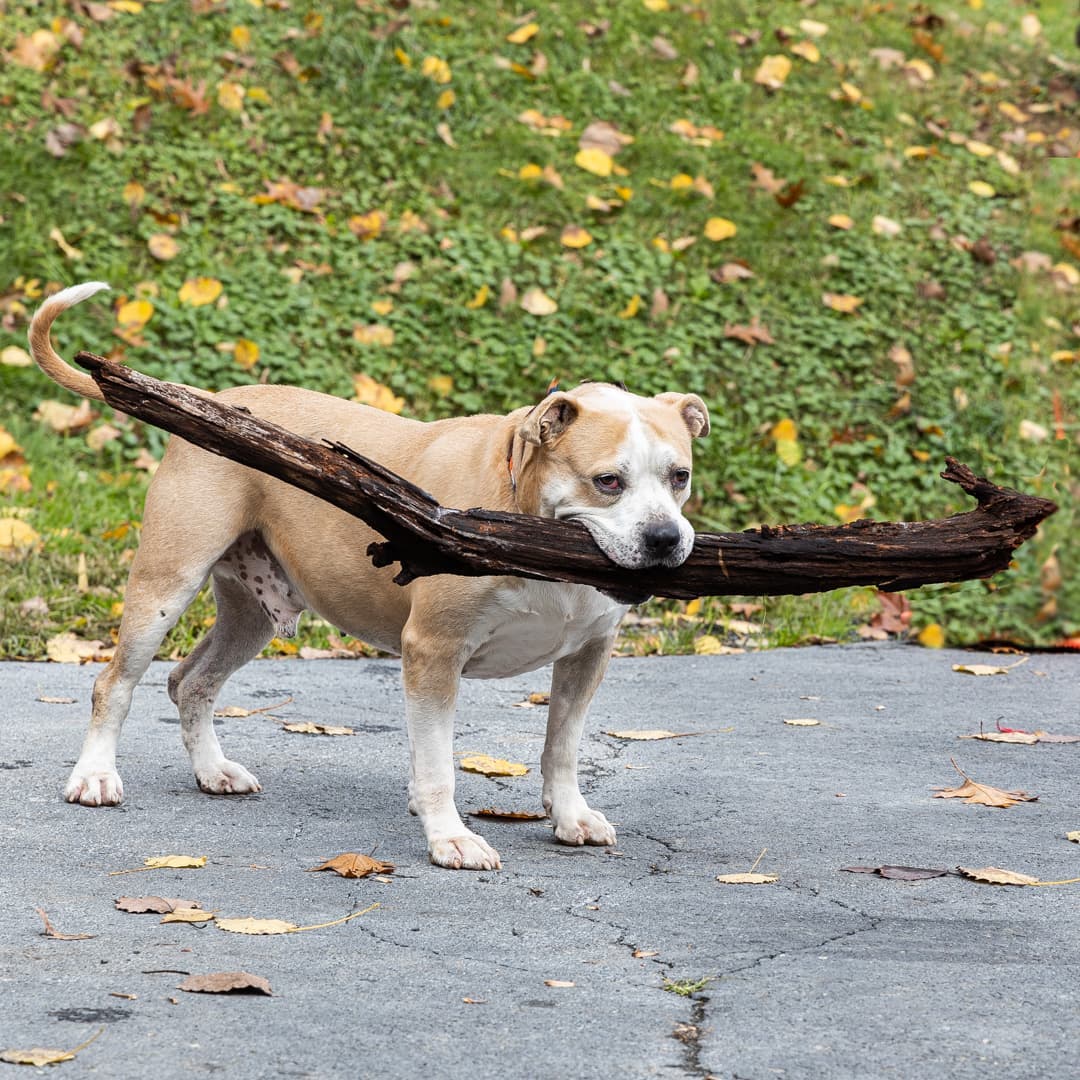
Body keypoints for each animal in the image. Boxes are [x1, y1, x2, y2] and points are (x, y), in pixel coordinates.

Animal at [27, 280, 708, 868]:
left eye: (680, 476)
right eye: (607, 481)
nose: (665, 539)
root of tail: (214, 403)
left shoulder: (588, 653)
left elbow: (562, 747)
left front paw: (570, 817)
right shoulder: (433, 650)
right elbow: (437, 764)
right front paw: (449, 838)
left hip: (251, 616)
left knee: (191, 682)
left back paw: (213, 771)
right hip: (165, 584)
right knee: (115, 682)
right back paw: (95, 777)